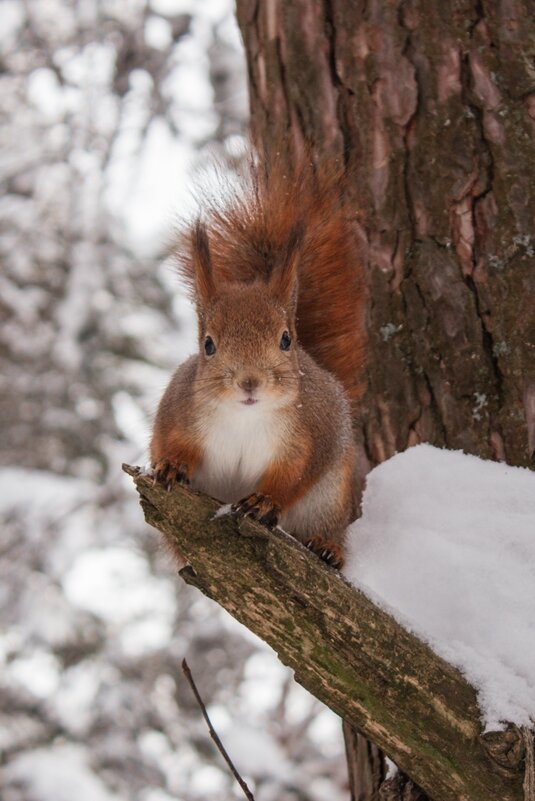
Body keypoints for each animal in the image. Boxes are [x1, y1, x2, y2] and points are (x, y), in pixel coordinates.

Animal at [153, 158, 366, 568]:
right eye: (208, 345)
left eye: (286, 339)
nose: (249, 382)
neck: (245, 418)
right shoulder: (180, 411)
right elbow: (171, 441)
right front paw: (172, 463)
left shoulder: (310, 435)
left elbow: (294, 475)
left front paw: (266, 500)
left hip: (330, 500)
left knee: (329, 530)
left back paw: (328, 548)